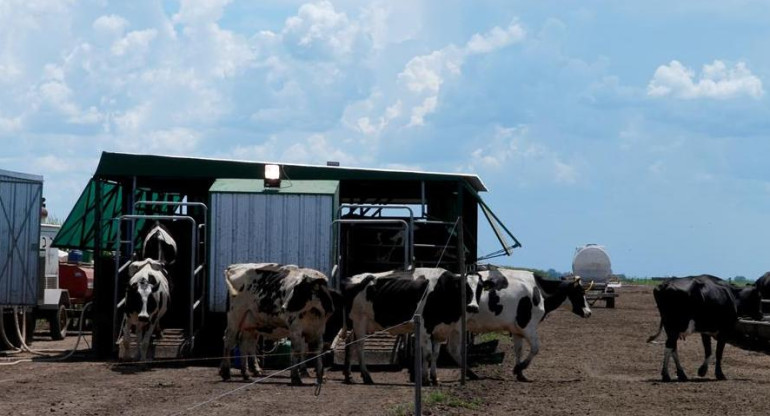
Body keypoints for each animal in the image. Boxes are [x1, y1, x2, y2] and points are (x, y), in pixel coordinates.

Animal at [344, 268, 480, 386]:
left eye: (479, 288)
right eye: (465, 288)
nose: (473, 307)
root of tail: (351, 278)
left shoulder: (438, 331)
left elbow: (435, 354)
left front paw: (434, 378)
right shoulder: (425, 328)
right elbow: (428, 354)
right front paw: (425, 379)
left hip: (360, 324)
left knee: (350, 343)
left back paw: (348, 376)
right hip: (359, 320)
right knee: (359, 346)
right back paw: (366, 376)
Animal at [456, 268, 592, 382]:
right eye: (580, 292)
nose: (589, 312)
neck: (539, 291)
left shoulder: (516, 329)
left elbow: (518, 350)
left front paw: (520, 373)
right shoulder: (527, 326)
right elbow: (535, 348)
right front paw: (519, 368)